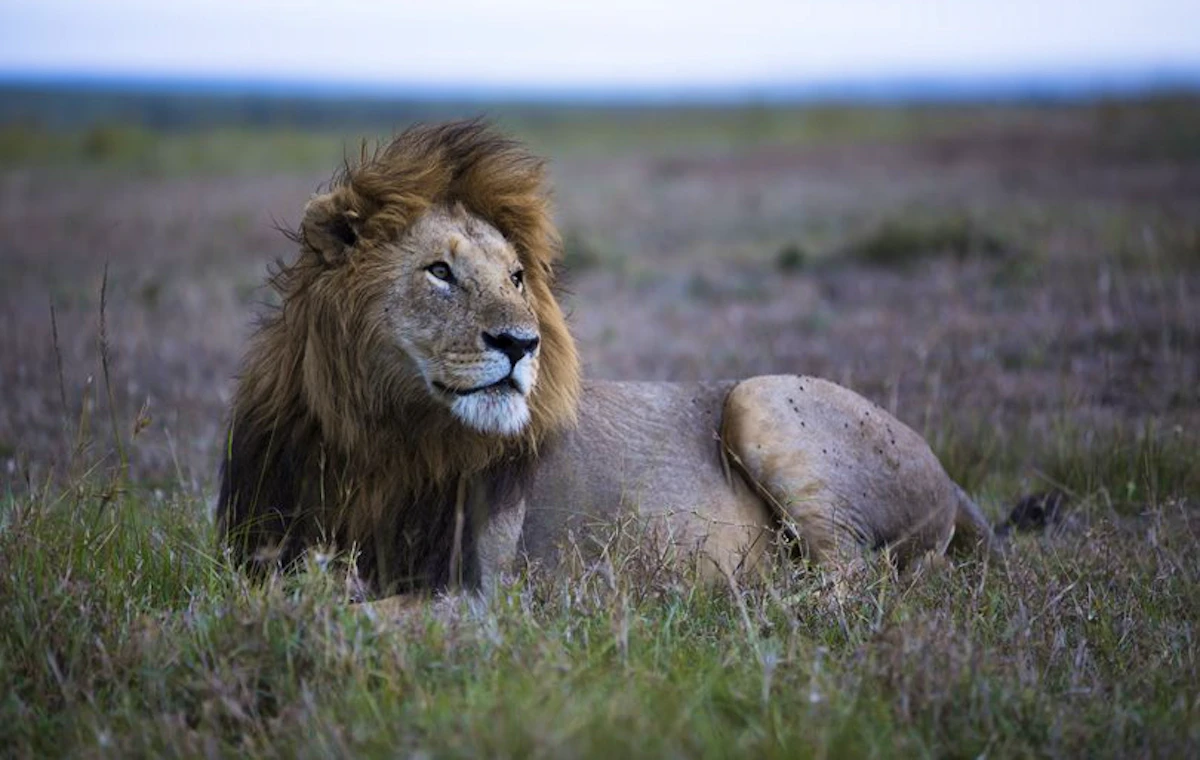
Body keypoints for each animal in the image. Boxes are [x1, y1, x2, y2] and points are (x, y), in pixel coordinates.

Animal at [217, 120, 999, 600]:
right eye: (440, 271)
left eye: (517, 278)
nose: (521, 343)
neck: (374, 441)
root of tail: (951, 478)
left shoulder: (470, 598)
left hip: (760, 400)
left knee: (857, 581)